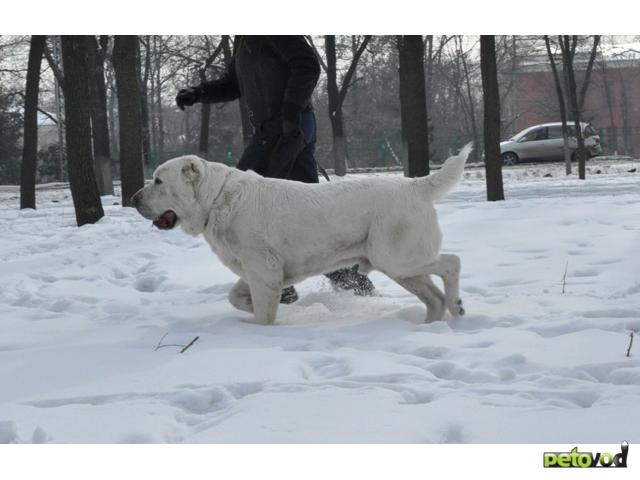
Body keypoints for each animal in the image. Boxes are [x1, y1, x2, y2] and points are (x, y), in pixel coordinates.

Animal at [131, 145, 470, 326]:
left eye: (158, 181)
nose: (133, 199)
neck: (215, 200)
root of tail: (416, 184)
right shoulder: (257, 271)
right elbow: (235, 296)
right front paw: (251, 310)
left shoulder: (263, 270)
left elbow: (262, 310)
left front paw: (259, 323)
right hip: (400, 266)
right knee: (434, 296)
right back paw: (430, 324)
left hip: (397, 258)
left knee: (452, 263)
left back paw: (458, 307)